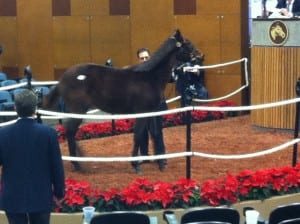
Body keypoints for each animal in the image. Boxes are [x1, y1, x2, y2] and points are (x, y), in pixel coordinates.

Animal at [42, 28, 202, 171]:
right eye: (188, 44)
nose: (200, 56)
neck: (149, 77)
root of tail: (62, 79)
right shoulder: (142, 113)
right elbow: (138, 136)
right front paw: (136, 165)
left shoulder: (151, 112)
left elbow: (154, 134)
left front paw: (160, 162)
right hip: (78, 110)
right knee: (70, 132)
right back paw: (77, 164)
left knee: (70, 132)